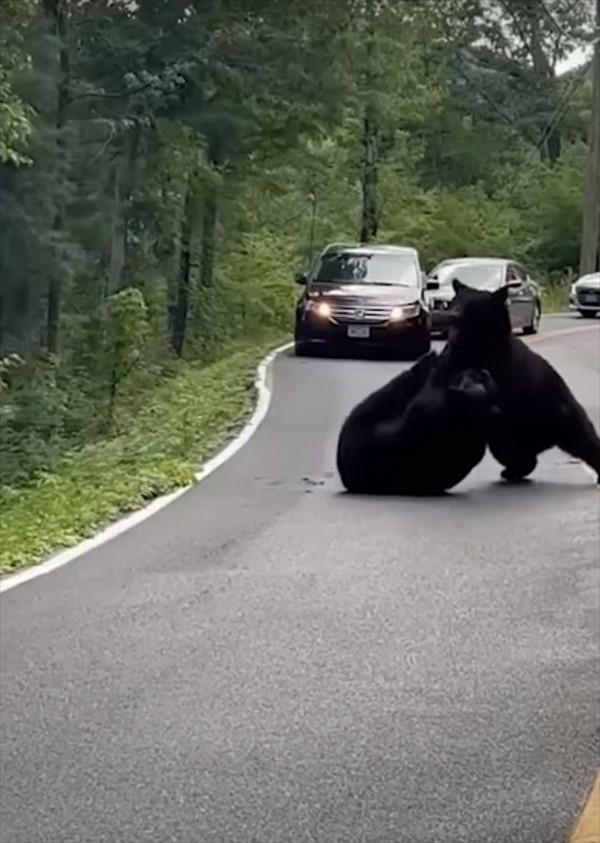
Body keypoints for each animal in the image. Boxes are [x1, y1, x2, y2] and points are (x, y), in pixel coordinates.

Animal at [442, 280, 600, 484]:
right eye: (455, 302)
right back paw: (513, 470)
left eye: (471, 306)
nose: (452, 315)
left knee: (586, 440)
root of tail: (544, 439)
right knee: (515, 453)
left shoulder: (500, 367)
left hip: (564, 414)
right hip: (508, 434)